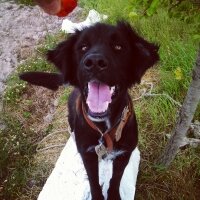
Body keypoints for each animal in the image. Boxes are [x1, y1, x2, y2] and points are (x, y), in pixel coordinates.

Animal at [19, 21, 159, 199]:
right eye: (83, 47)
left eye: (119, 46)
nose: (95, 62)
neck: (104, 129)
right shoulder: (87, 154)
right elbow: (93, 181)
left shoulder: (124, 153)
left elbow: (115, 179)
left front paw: (113, 195)